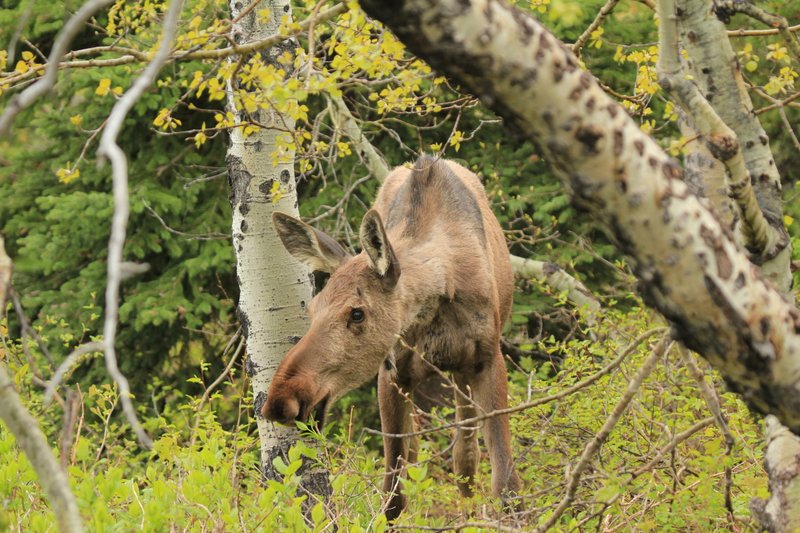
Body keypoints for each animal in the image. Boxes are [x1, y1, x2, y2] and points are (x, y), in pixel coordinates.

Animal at [263, 155, 522, 520]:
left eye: (357, 313)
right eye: (312, 309)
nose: (280, 399)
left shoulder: (487, 359)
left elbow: (506, 485)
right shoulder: (392, 372)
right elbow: (393, 494)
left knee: (465, 452)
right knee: (417, 451)